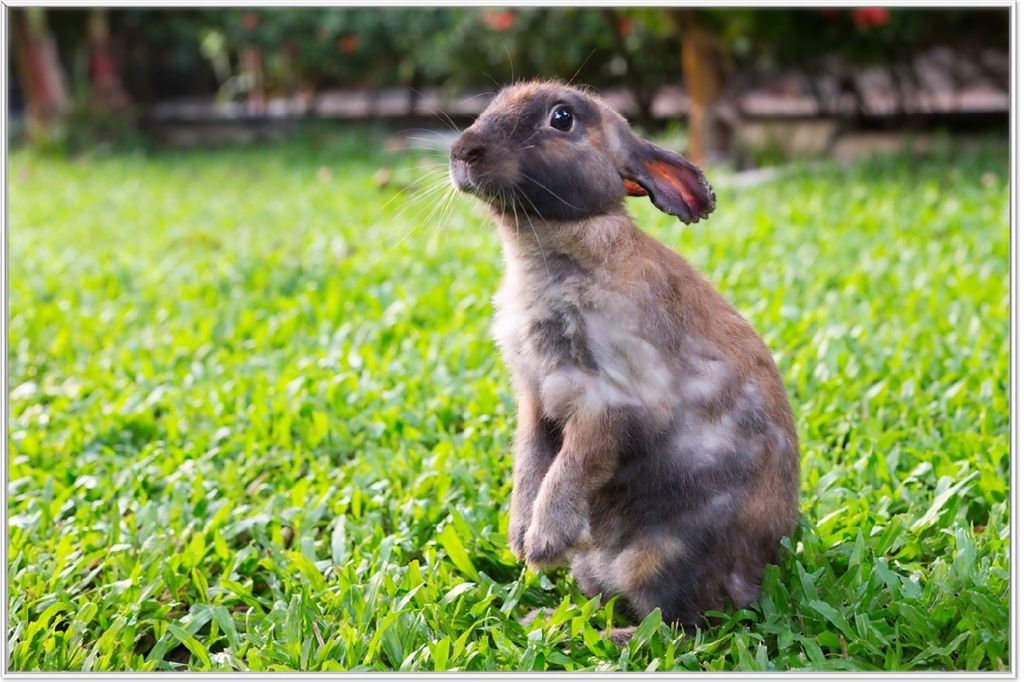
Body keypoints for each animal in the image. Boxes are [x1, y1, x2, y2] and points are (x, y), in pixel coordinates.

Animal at [448, 81, 799, 643]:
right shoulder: (535, 400)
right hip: (597, 566)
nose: (462, 152)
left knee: (676, 627)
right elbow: (530, 462)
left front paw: (542, 543)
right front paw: (520, 538)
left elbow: (573, 465)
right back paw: (547, 622)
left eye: (562, 118)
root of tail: (755, 579)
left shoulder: (609, 403)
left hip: (660, 559)